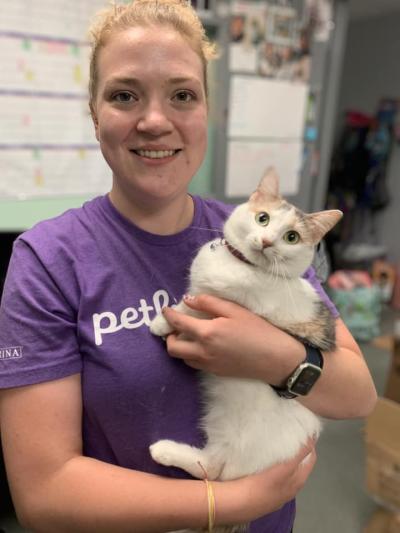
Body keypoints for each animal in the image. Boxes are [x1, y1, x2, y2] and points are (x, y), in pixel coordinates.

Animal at [148, 167, 342, 532]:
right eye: (262, 218)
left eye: (292, 237)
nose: (266, 242)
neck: (241, 266)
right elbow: (193, 296)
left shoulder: (236, 307)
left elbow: (193, 306)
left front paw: (164, 321)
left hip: (239, 439)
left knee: (214, 469)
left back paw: (163, 449)